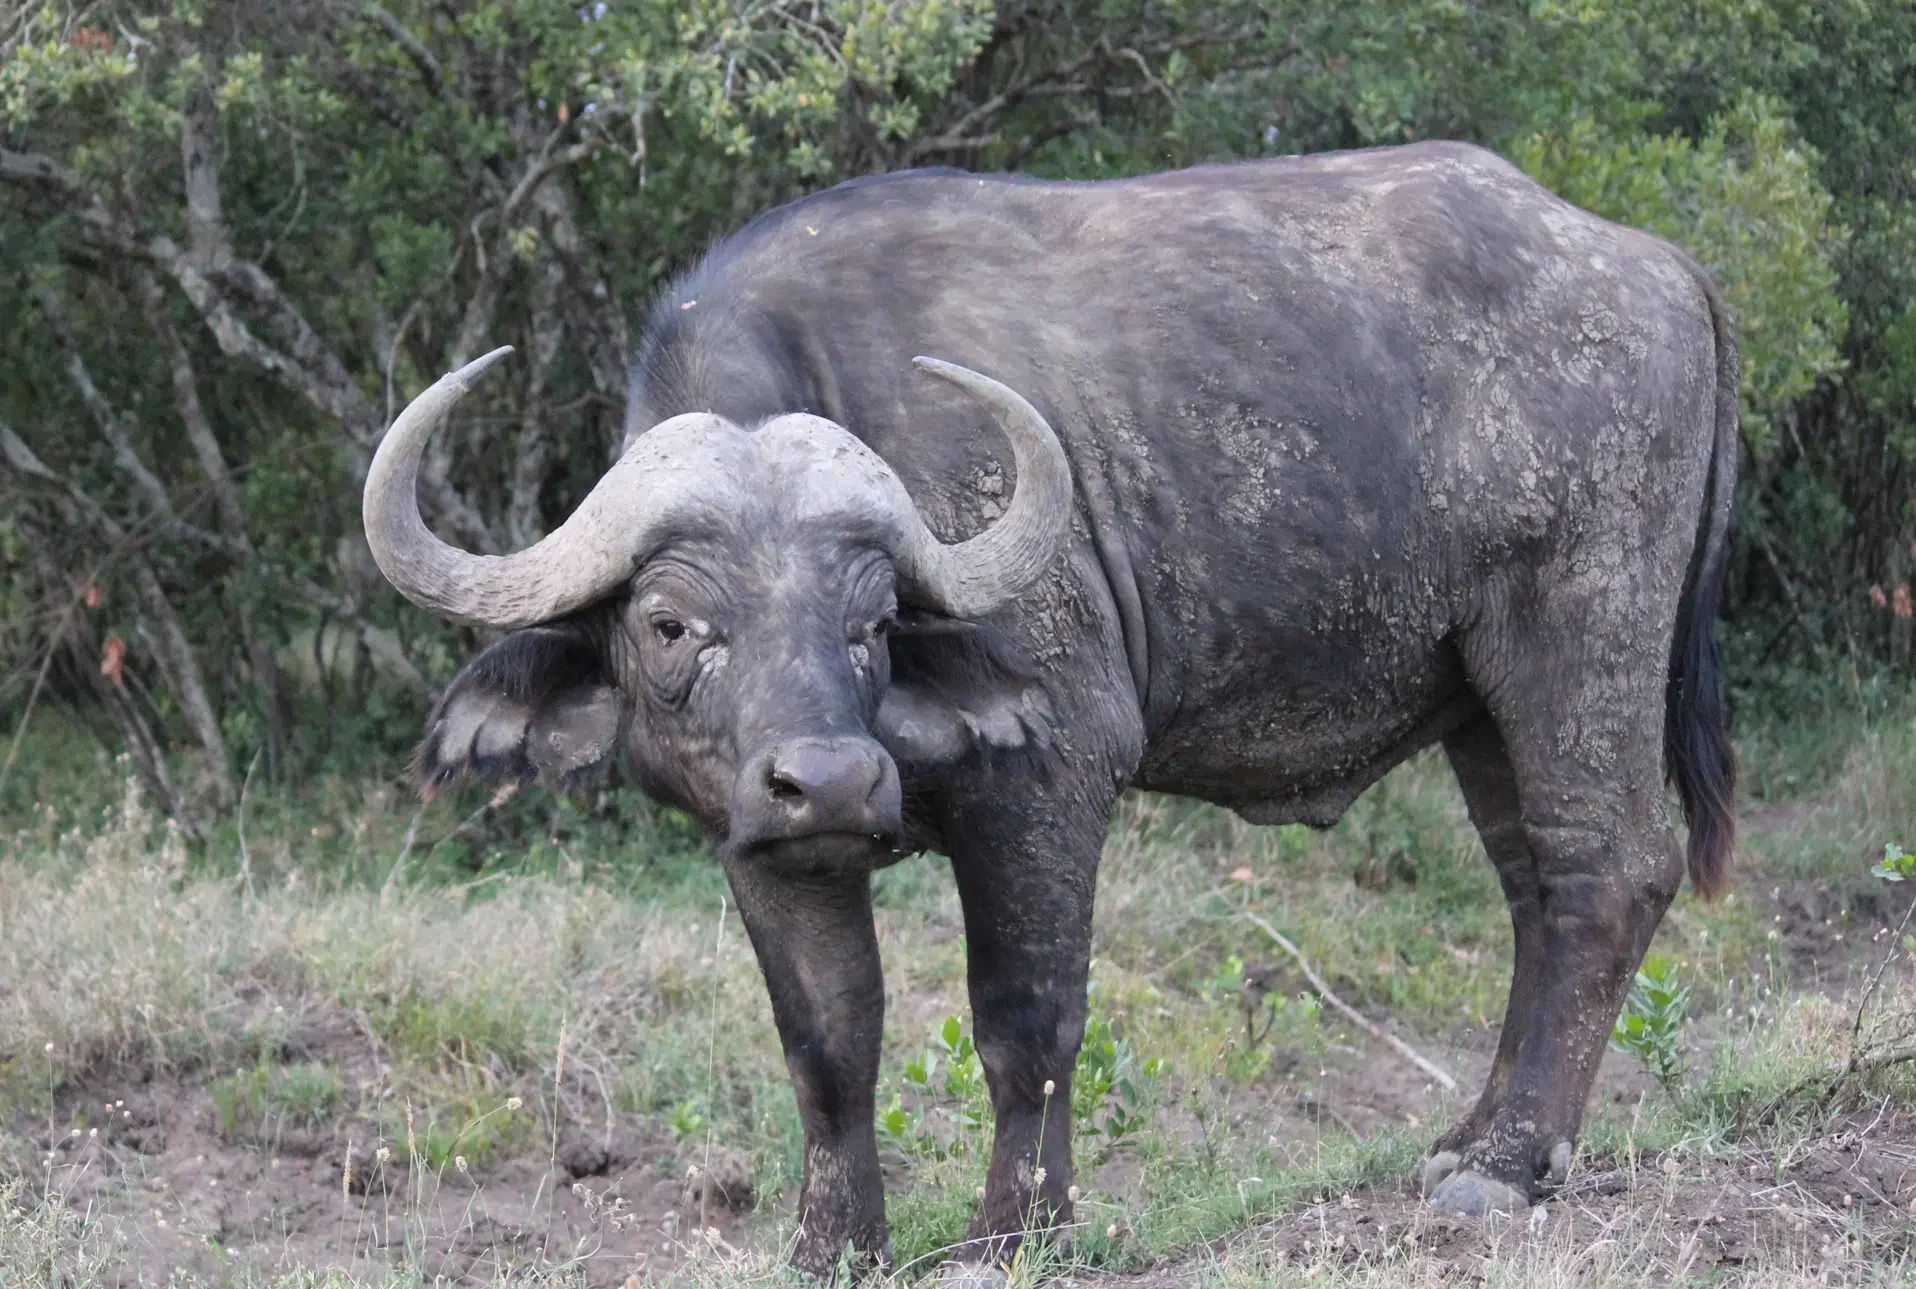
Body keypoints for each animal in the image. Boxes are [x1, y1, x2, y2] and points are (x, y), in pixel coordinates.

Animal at [362, 140, 1737, 1276]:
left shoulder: (1048, 782)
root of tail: (1654, 262)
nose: (834, 777)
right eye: (669, 624)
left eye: (871, 621)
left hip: (1576, 632)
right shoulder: (760, 843)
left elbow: (1025, 1017)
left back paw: (1506, 1166)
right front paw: (833, 1245)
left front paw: (1013, 1229)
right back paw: (1474, 1134)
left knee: (1605, 866)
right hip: (1474, 701)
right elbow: (827, 1040)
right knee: (1531, 890)